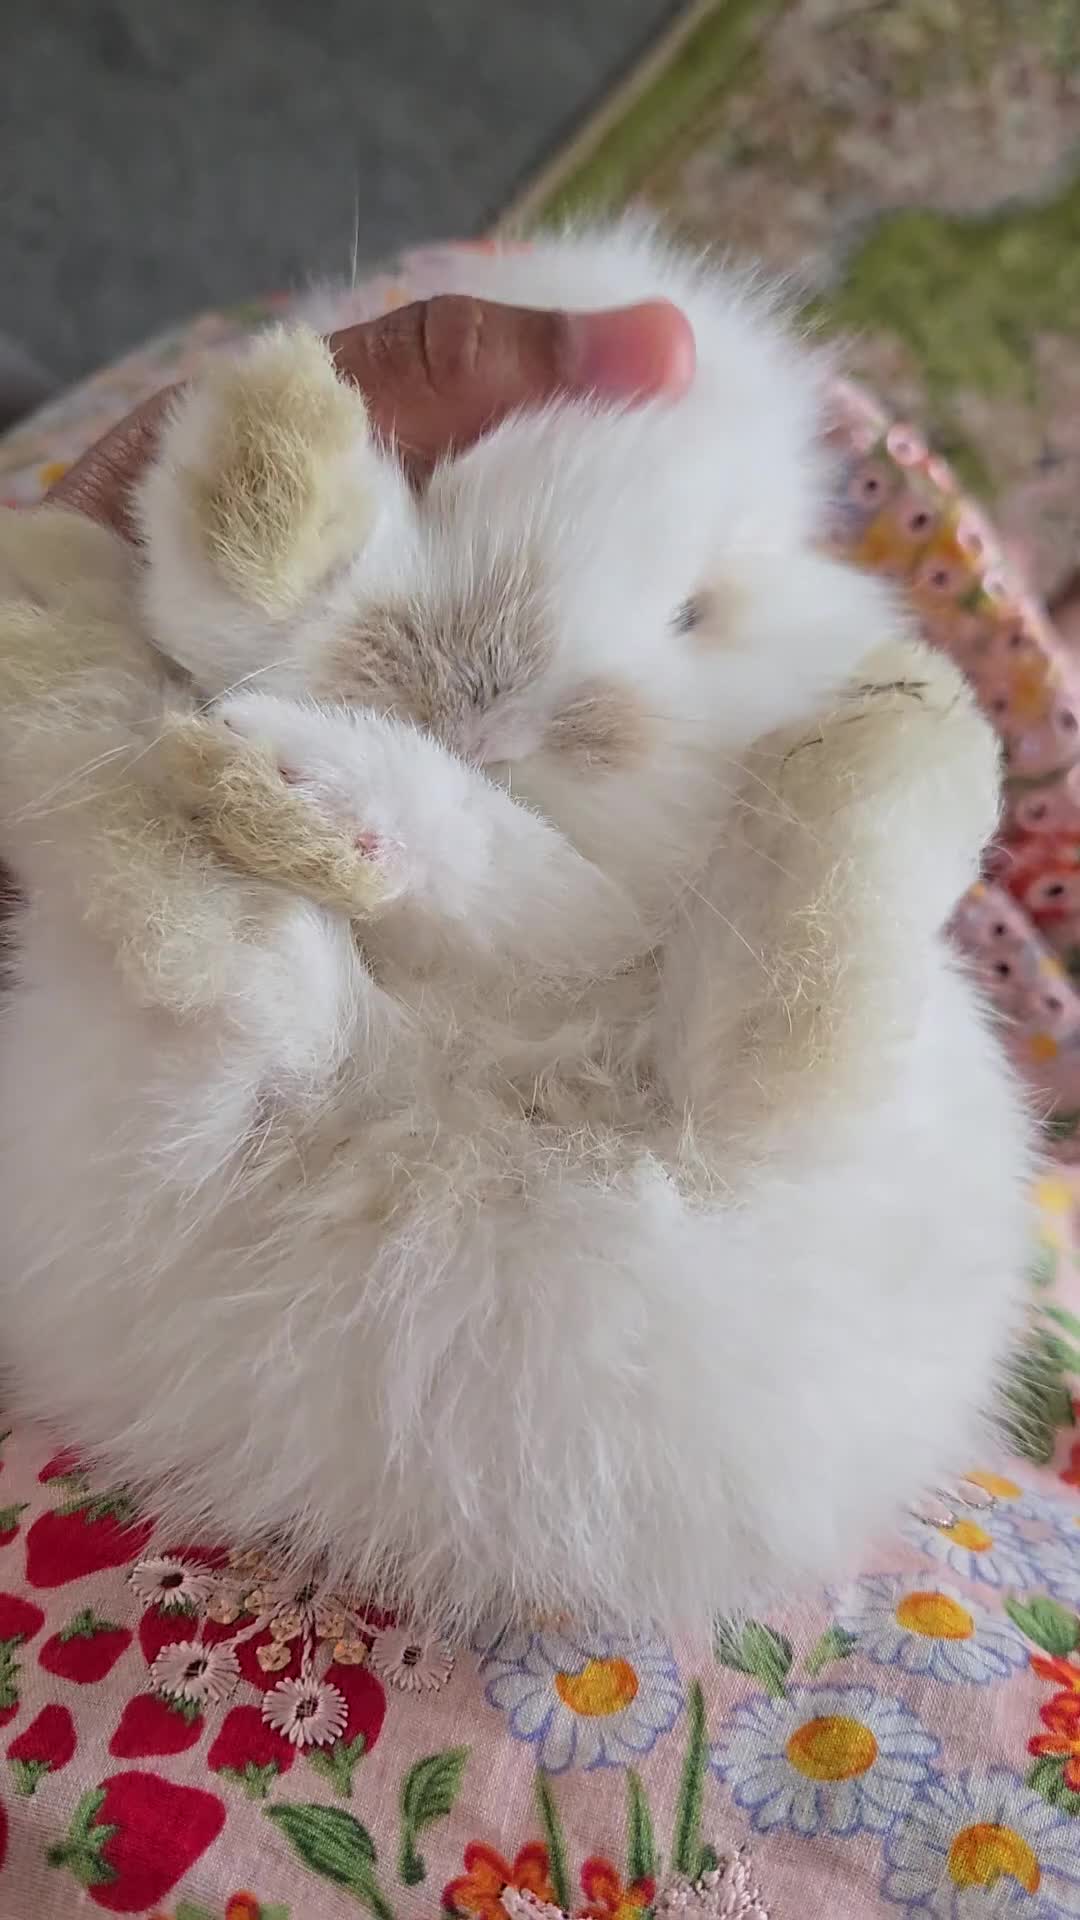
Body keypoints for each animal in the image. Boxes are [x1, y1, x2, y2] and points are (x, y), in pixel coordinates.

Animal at [0, 221, 1034, 1637]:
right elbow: (253, 631)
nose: (482, 693)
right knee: (233, 971)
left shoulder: (605, 912)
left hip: (822, 1155)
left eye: (697, 610)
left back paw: (899, 726)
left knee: (784, 1041)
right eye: (447, 474)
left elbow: (542, 894)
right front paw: (276, 461)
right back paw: (103, 643)